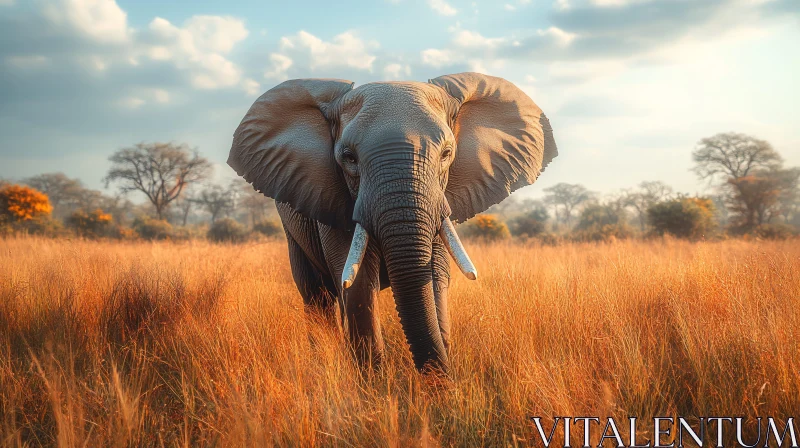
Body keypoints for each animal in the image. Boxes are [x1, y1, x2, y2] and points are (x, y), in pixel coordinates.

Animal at [228, 72, 560, 372]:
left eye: (447, 154)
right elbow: (357, 284)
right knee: (316, 295)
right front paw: (373, 386)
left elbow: (434, 276)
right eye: (348, 157)